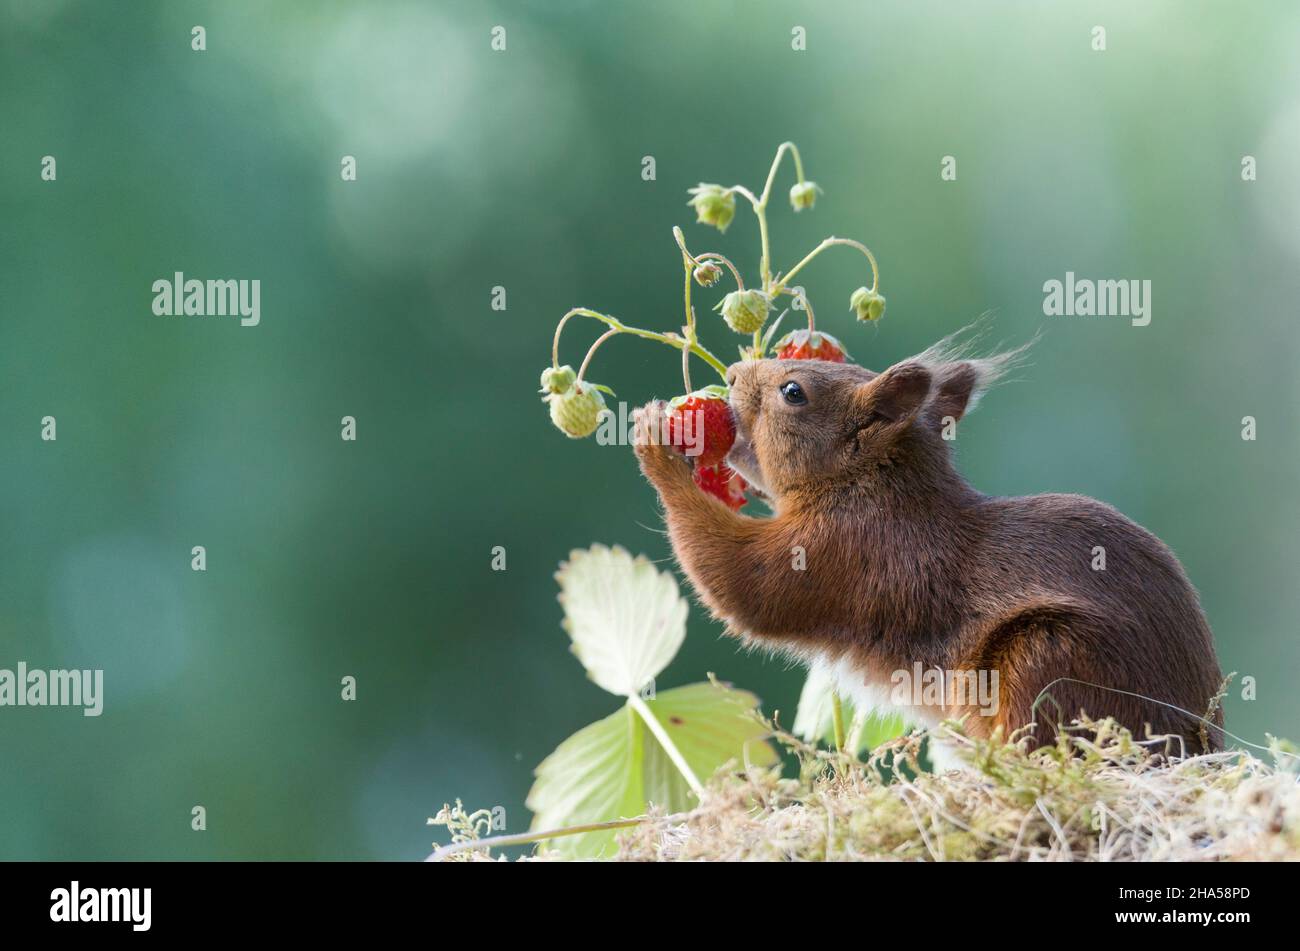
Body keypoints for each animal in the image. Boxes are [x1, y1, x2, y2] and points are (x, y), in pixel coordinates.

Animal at [633, 339, 1225, 756]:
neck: (869, 484)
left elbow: (743, 585)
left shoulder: (841, 552)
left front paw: (655, 442)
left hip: (1050, 659)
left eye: (793, 391)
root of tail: (1199, 743)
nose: (732, 374)